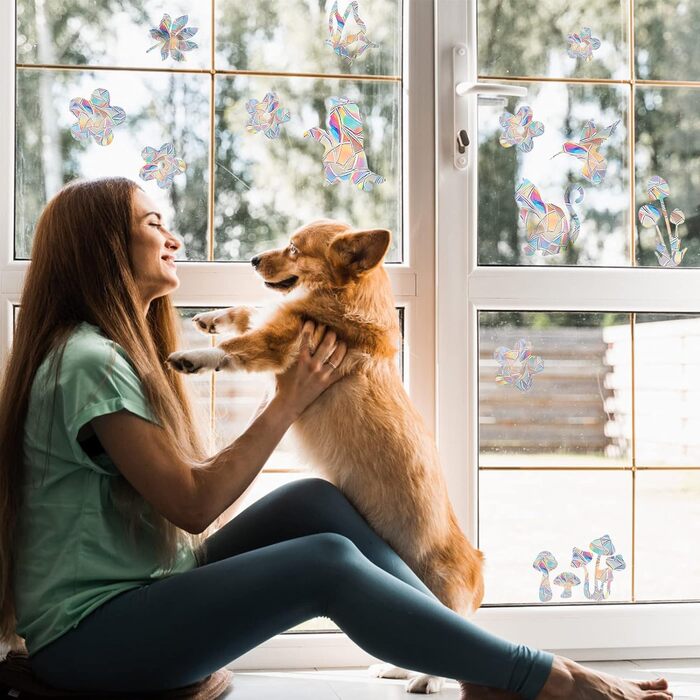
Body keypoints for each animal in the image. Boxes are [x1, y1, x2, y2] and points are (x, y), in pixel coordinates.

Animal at [167, 220, 484, 696]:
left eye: (294, 249)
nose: (253, 259)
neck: (345, 297)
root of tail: (476, 570)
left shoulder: (280, 340)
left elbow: (240, 344)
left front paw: (194, 355)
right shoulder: (279, 324)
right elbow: (249, 312)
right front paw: (212, 318)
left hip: (434, 588)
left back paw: (423, 679)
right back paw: (393, 669)